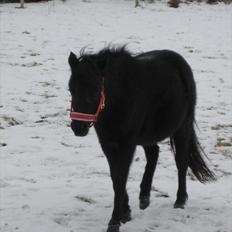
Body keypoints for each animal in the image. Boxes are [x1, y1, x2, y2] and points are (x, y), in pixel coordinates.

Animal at [67, 46, 216, 232]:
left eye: (95, 91)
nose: (78, 127)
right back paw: (144, 197)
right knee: (154, 154)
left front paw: (115, 221)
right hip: (148, 135)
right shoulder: (107, 144)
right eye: (71, 89)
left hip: (182, 128)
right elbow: (115, 176)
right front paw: (126, 212)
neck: (120, 98)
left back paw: (180, 200)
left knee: (181, 162)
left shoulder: (127, 144)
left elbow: (120, 178)